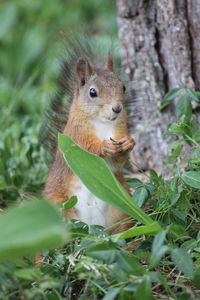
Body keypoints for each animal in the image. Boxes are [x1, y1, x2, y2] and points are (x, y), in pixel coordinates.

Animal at [42, 37, 136, 233]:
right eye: (93, 92)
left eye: (123, 87)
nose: (117, 108)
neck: (103, 122)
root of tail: (94, 228)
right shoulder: (75, 134)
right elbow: (85, 147)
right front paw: (104, 146)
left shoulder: (120, 129)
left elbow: (118, 162)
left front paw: (129, 142)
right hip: (60, 206)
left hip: (121, 207)